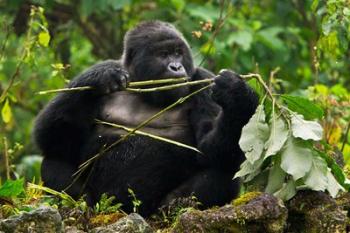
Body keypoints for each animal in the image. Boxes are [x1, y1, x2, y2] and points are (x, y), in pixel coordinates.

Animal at [34, 20, 258, 216]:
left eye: (178, 53)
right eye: (163, 54)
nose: (176, 67)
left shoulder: (204, 82)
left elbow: (210, 150)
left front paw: (237, 95)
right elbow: (54, 139)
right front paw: (101, 77)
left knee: (224, 169)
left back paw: (176, 205)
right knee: (53, 160)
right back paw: (81, 204)